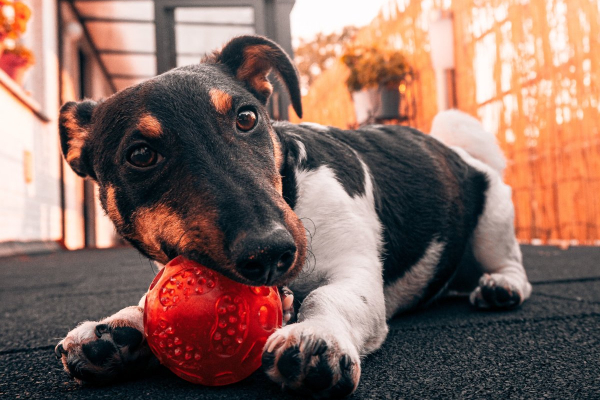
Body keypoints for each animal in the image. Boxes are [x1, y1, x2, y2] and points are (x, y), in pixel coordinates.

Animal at [54, 35, 532, 396]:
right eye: (140, 155)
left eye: (247, 117)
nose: (270, 252)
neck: (293, 194)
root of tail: (462, 154)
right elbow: (145, 306)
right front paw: (116, 329)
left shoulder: (355, 271)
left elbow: (328, 298)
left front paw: (317, 337)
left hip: (492, 223)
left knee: (512, 265)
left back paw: (500, 286)